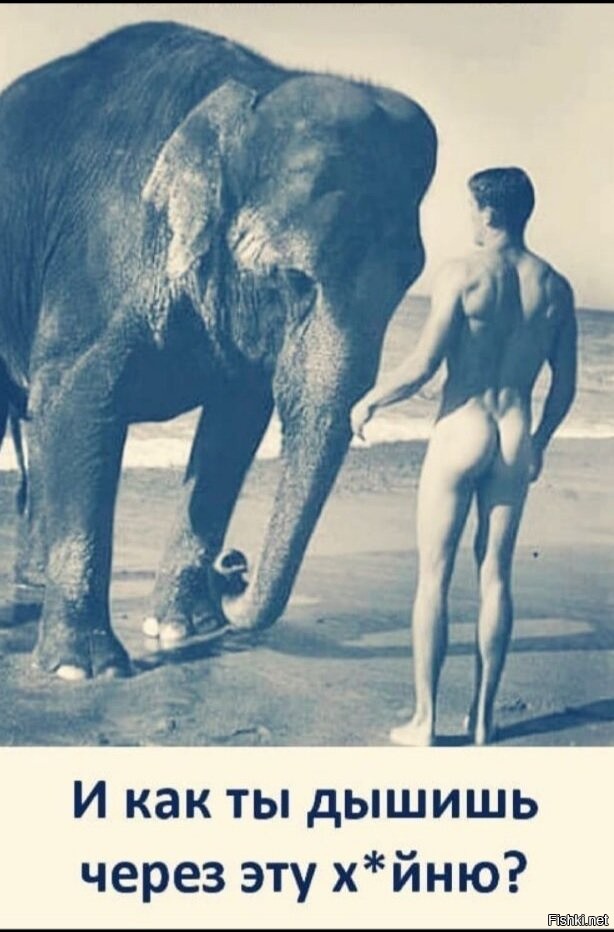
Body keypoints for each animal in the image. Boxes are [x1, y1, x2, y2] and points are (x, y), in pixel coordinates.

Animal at [0, 21, 436, 680]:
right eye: (292, 279)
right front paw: (85, 669)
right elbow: (78, 397)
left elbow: (233, 429)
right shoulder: (99, 258)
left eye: (408, 281)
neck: (256, 88)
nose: (234, 571)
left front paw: (186, 629)